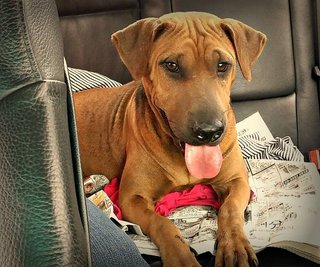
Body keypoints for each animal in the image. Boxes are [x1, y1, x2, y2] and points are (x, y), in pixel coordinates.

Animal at [74, 11, 266, 266]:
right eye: (171, 65)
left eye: (223, 65)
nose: (209, 131)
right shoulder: (132, 198)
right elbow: (161, 223)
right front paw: (181, 256)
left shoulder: (236, 181)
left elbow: (230, 209)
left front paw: (235, 246)